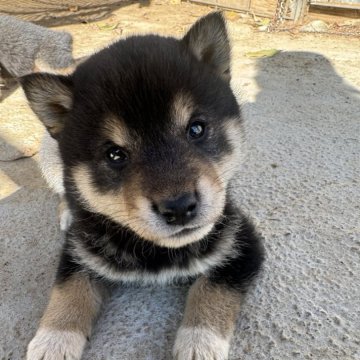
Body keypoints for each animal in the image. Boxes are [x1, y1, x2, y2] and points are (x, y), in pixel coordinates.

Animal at [22, 11, 264, 360]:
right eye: (115, 154)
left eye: (196, 129)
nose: (179, 207)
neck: (156, 250)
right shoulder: (79, 249)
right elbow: (69, 288)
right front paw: (53, 340)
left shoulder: (241, 241)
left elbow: (213, 288)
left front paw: (199, 341)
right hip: (51, 162)